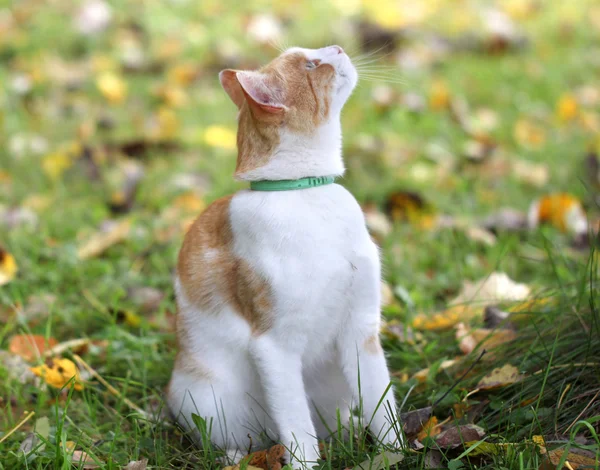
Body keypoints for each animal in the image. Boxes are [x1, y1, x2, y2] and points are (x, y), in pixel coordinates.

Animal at [164, 46, 400, 468]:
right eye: (310, 64)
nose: (337, 48)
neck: (305, 194)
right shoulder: (275, 346)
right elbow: (297, 426)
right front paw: (305, 461)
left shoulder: (361, 328)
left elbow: (382, 401)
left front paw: (399, 453)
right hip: (211, 401)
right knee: (240, 440)